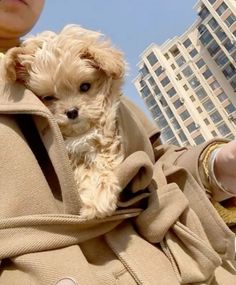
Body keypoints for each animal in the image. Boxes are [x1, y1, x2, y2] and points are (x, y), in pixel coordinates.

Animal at [2, 25, 126, 219]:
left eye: (85, 86)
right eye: (48, 98)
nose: (72, 112)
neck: (80, 134)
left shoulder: (107, 134)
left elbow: (101, 160)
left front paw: (98, 197)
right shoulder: (72, 156)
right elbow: (83, 170)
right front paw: (96, 199)